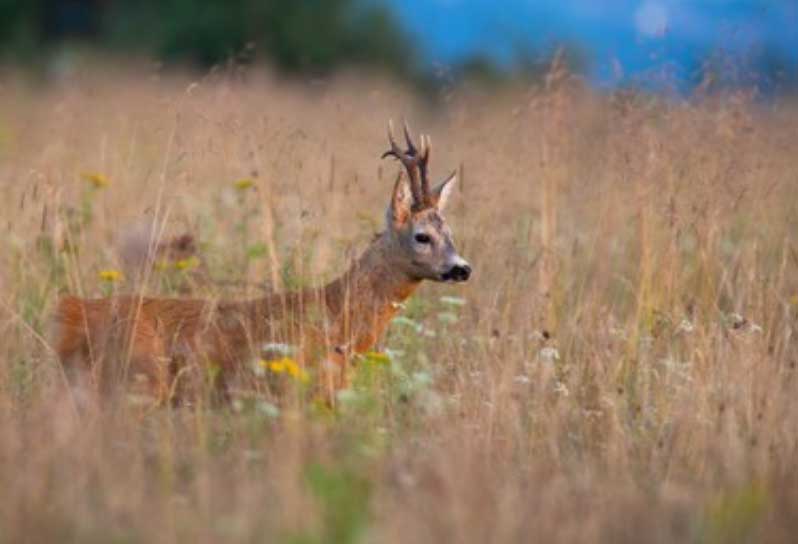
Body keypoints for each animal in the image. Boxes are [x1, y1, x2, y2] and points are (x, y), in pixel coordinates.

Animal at [51, 123, 476, 404]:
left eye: (450, 231)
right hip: (136, 385)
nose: (463, 268)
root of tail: (70, 311)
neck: (337, 316)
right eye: (422, 236)